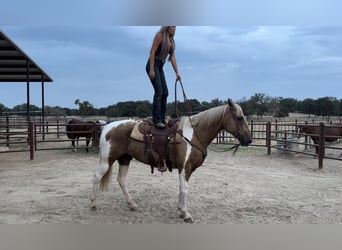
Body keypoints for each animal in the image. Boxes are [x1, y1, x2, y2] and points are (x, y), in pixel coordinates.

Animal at [89, 98, 252, 224]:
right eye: (239, 118)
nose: (249, 140)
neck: (194, 134)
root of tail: (107, 127)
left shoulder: (185, 169)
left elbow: (181, 188)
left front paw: (181, 211)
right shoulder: (185, 167)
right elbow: (185, 189)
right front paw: (186, 214)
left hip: (124, 158)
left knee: (121, 179)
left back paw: (132, 204)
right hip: (107, 159)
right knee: (96, 176)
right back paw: (93, 204)